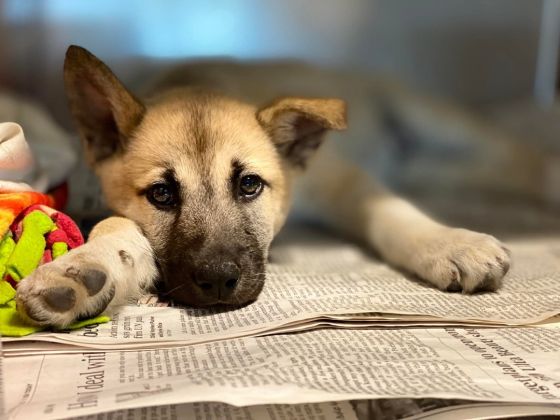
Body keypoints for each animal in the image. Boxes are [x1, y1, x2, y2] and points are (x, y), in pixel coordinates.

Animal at [15, 46, 510, 328]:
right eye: (161, 194)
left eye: (250, 185)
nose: (218, 281)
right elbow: (115, 230)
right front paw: (82, 270)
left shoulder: (338, 180)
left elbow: (388, 210)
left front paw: (449, 243)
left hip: (432, 117)